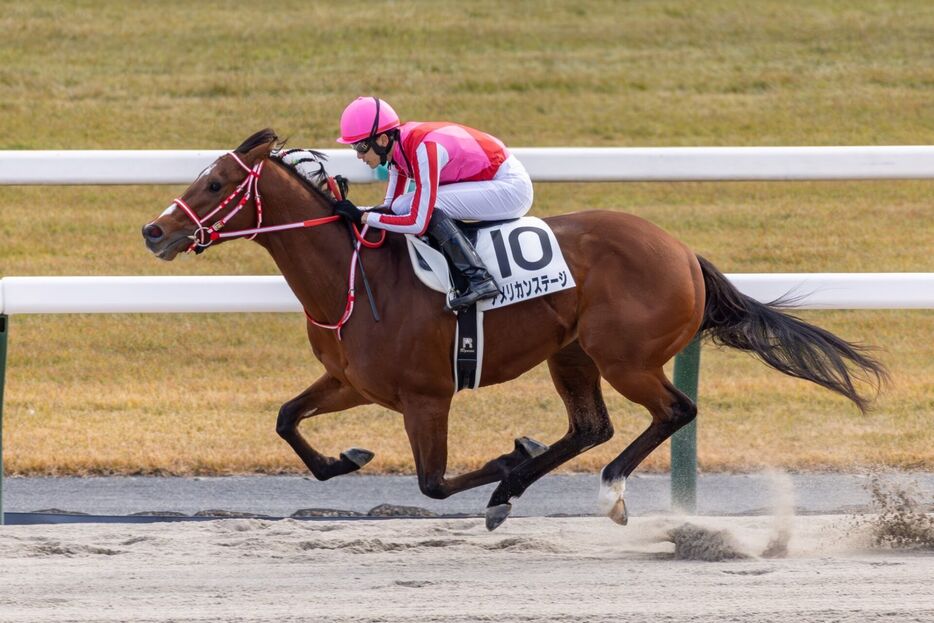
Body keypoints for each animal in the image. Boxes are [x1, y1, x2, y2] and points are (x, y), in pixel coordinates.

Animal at [139, 130, 884, 532]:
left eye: (214, 184)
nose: (154, 230)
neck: (354, 279)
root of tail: (682, 251)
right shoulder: (352, 381)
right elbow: (288, 420)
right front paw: (345, 458)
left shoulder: (426, 397)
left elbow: (433, 484)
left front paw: (504, 459)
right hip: (572, 353)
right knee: (591, 426)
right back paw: (519, 487)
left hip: (624, 356)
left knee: (674, 411)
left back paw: (599, 489)